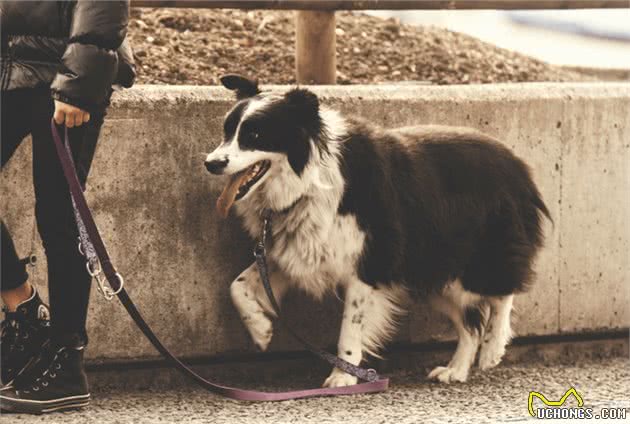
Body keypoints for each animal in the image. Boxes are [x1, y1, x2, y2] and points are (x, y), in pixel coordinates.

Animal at [205, 76, 552, 388]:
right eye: (227, 132)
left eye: (255, 134)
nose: (211, 163)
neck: (308, 180)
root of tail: (519, 166)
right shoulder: (297, 250)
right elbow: (237, 286)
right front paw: (261, 330)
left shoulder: (367, 261)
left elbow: (350, 326)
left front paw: (342, 376)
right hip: (432, 270)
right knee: (471, 325)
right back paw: (456, 370)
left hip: (477, 254)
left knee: (503, 292)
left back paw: (493, 349)